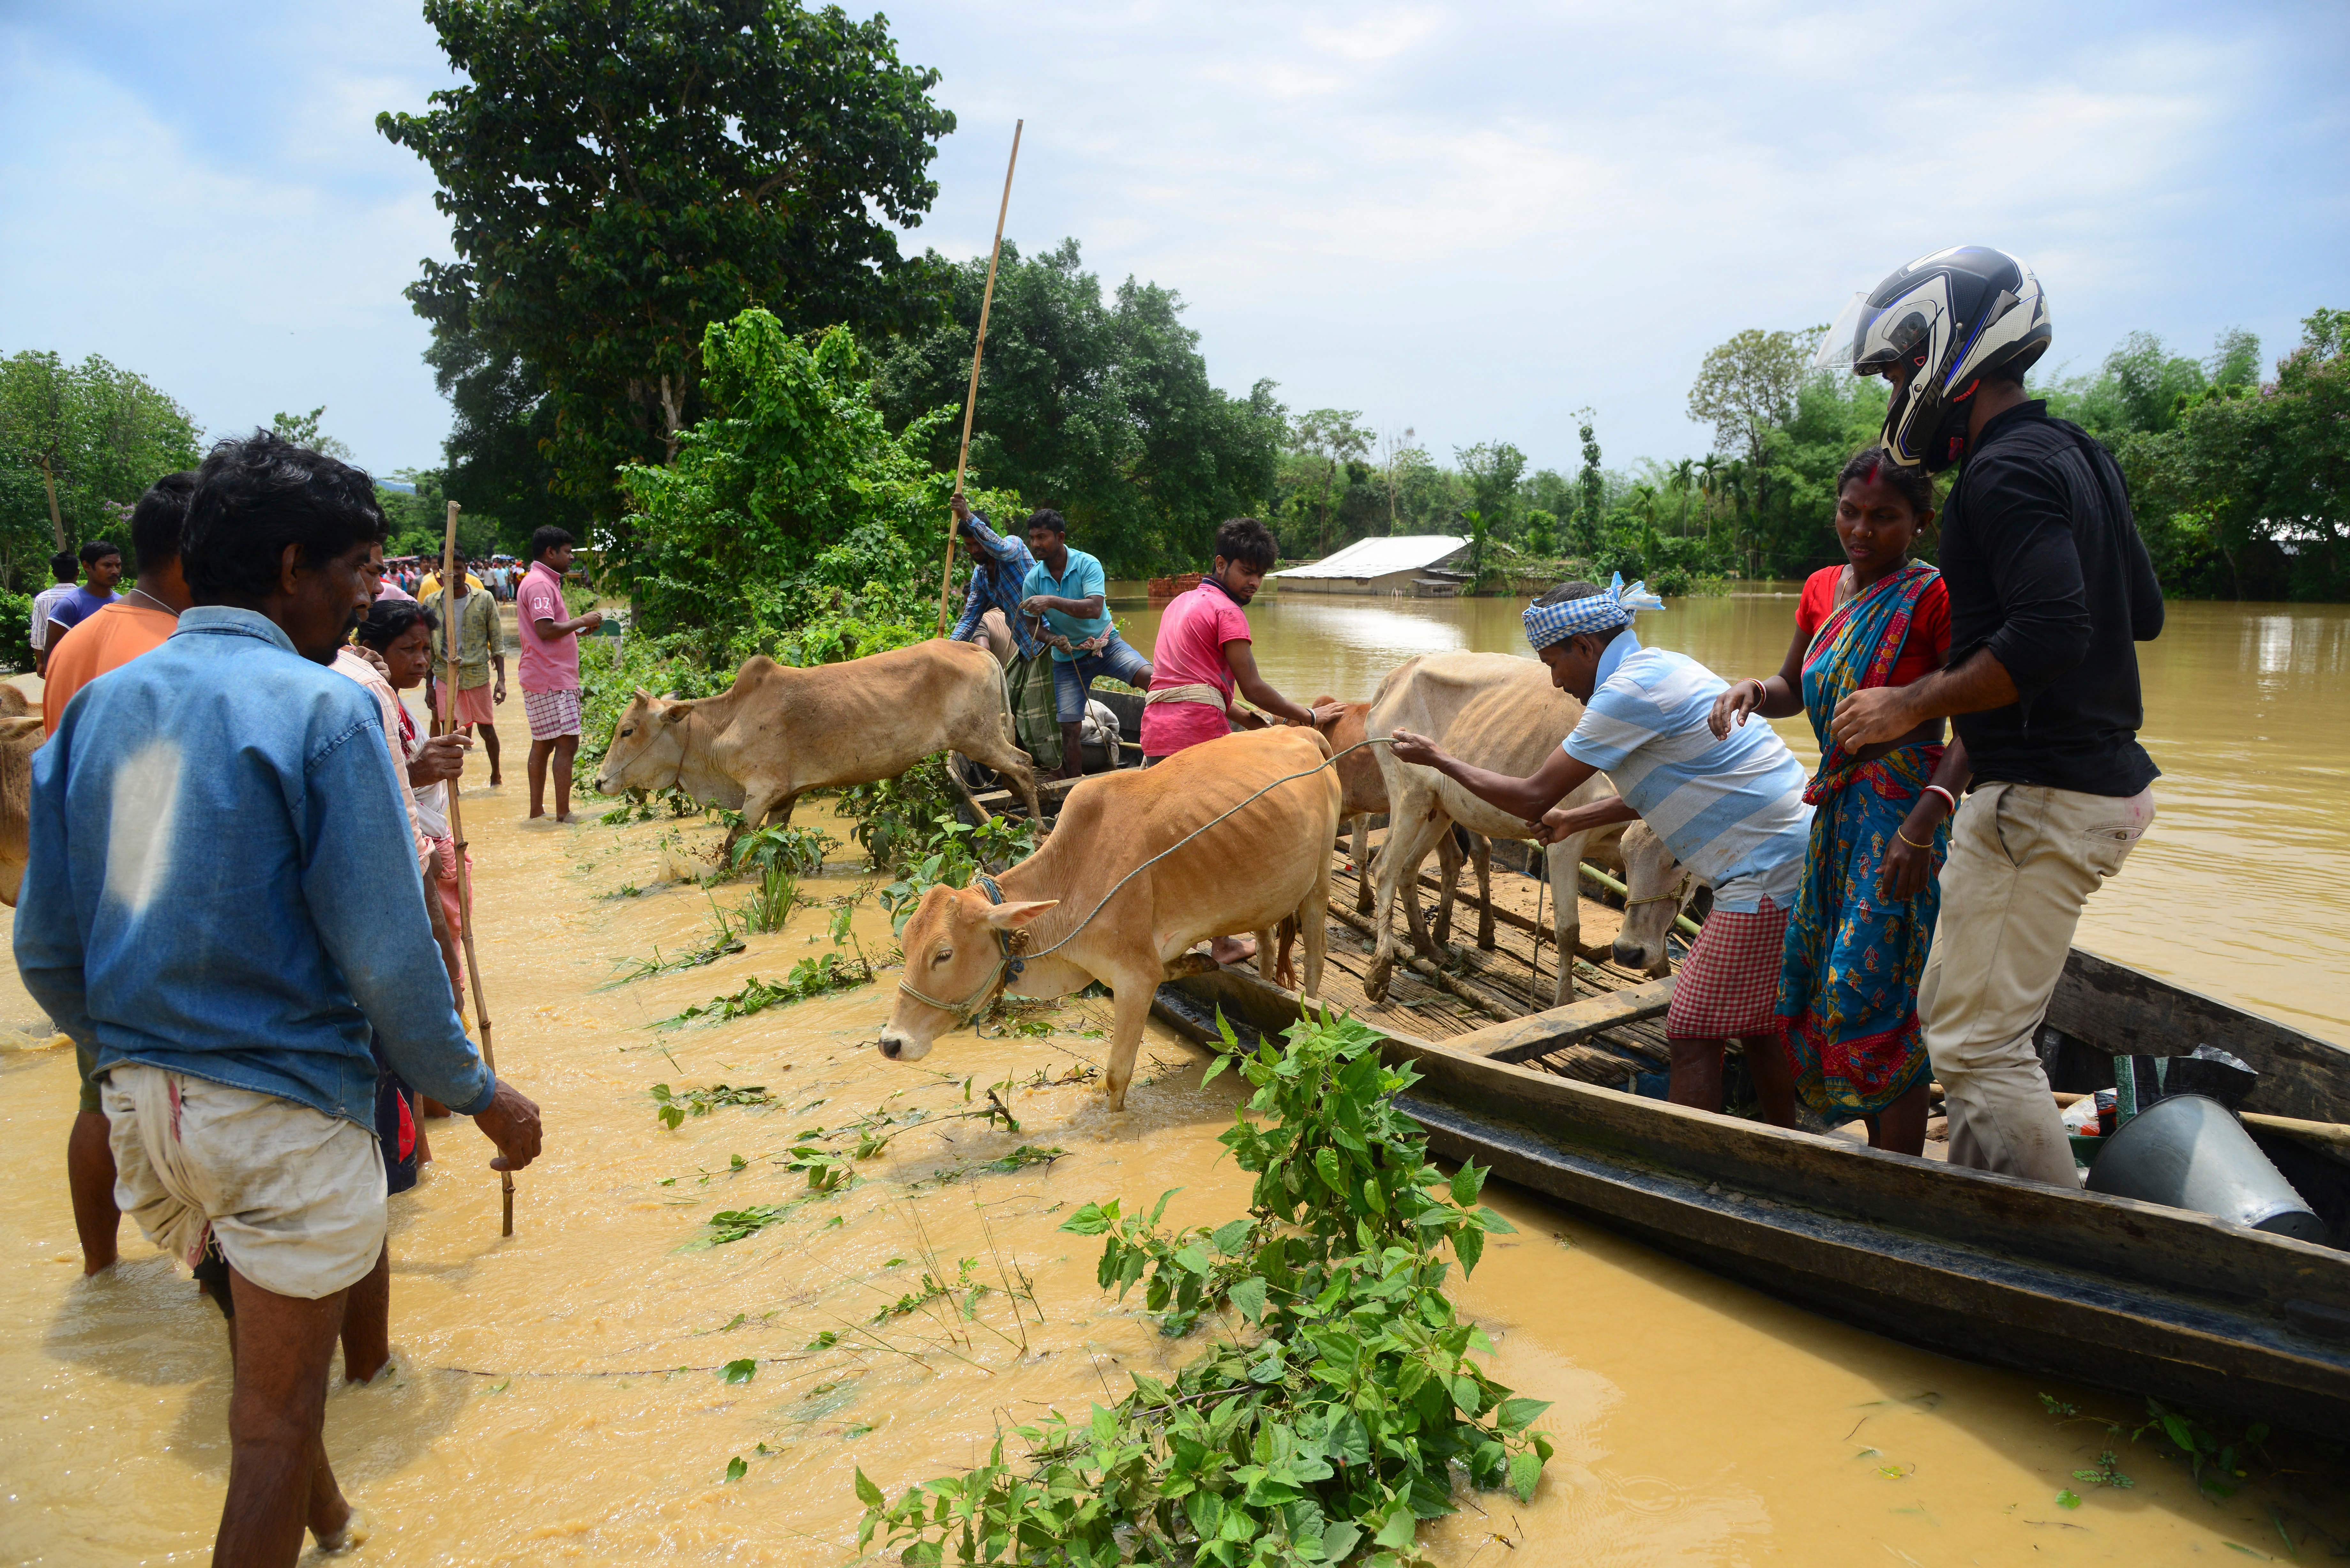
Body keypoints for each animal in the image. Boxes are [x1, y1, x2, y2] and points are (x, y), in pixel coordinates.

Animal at [597, 639, 1039, 851]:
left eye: (628, 731)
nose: (600, 782)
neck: (720, 727)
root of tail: (979, 650)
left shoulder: (760, 793)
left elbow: (732, 846)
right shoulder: (783, 798)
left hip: (979, 738)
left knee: (1023, 763)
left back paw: (1034, 829)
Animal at [879, 728, 1344, 1109]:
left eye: (944, 954)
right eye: (906, 945)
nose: (890, 1043)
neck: (1074, 877)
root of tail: (1304, 733)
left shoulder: (1136, 979)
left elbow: (1116, 1079)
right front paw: (1197, 962)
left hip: (1320, 879)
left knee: (1316, 956)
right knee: (1267, 947)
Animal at [1363, 653, 1617, 1006]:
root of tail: (1397, 675)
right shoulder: (1566, 842)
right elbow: (1568, 931)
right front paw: (1564, 1003)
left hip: (1439, 805)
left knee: (1410, 867)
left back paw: (1428, 946)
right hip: (1410, 793)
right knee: (1385, 867)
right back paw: (1380, 971)